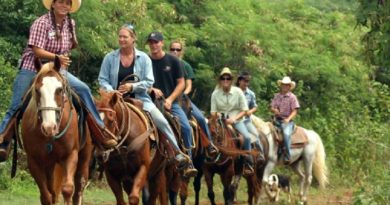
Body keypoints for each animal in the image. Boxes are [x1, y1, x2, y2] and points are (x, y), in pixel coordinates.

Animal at [21, 58, 93, 204]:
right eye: (37, 90)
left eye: (59, 89)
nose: (49, 127)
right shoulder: (34, 161)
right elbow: (46, 196)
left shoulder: (71, 155)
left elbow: (67, 189)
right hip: (50, 165)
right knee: (52, 192)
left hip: (84, 157)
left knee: (79, 188)